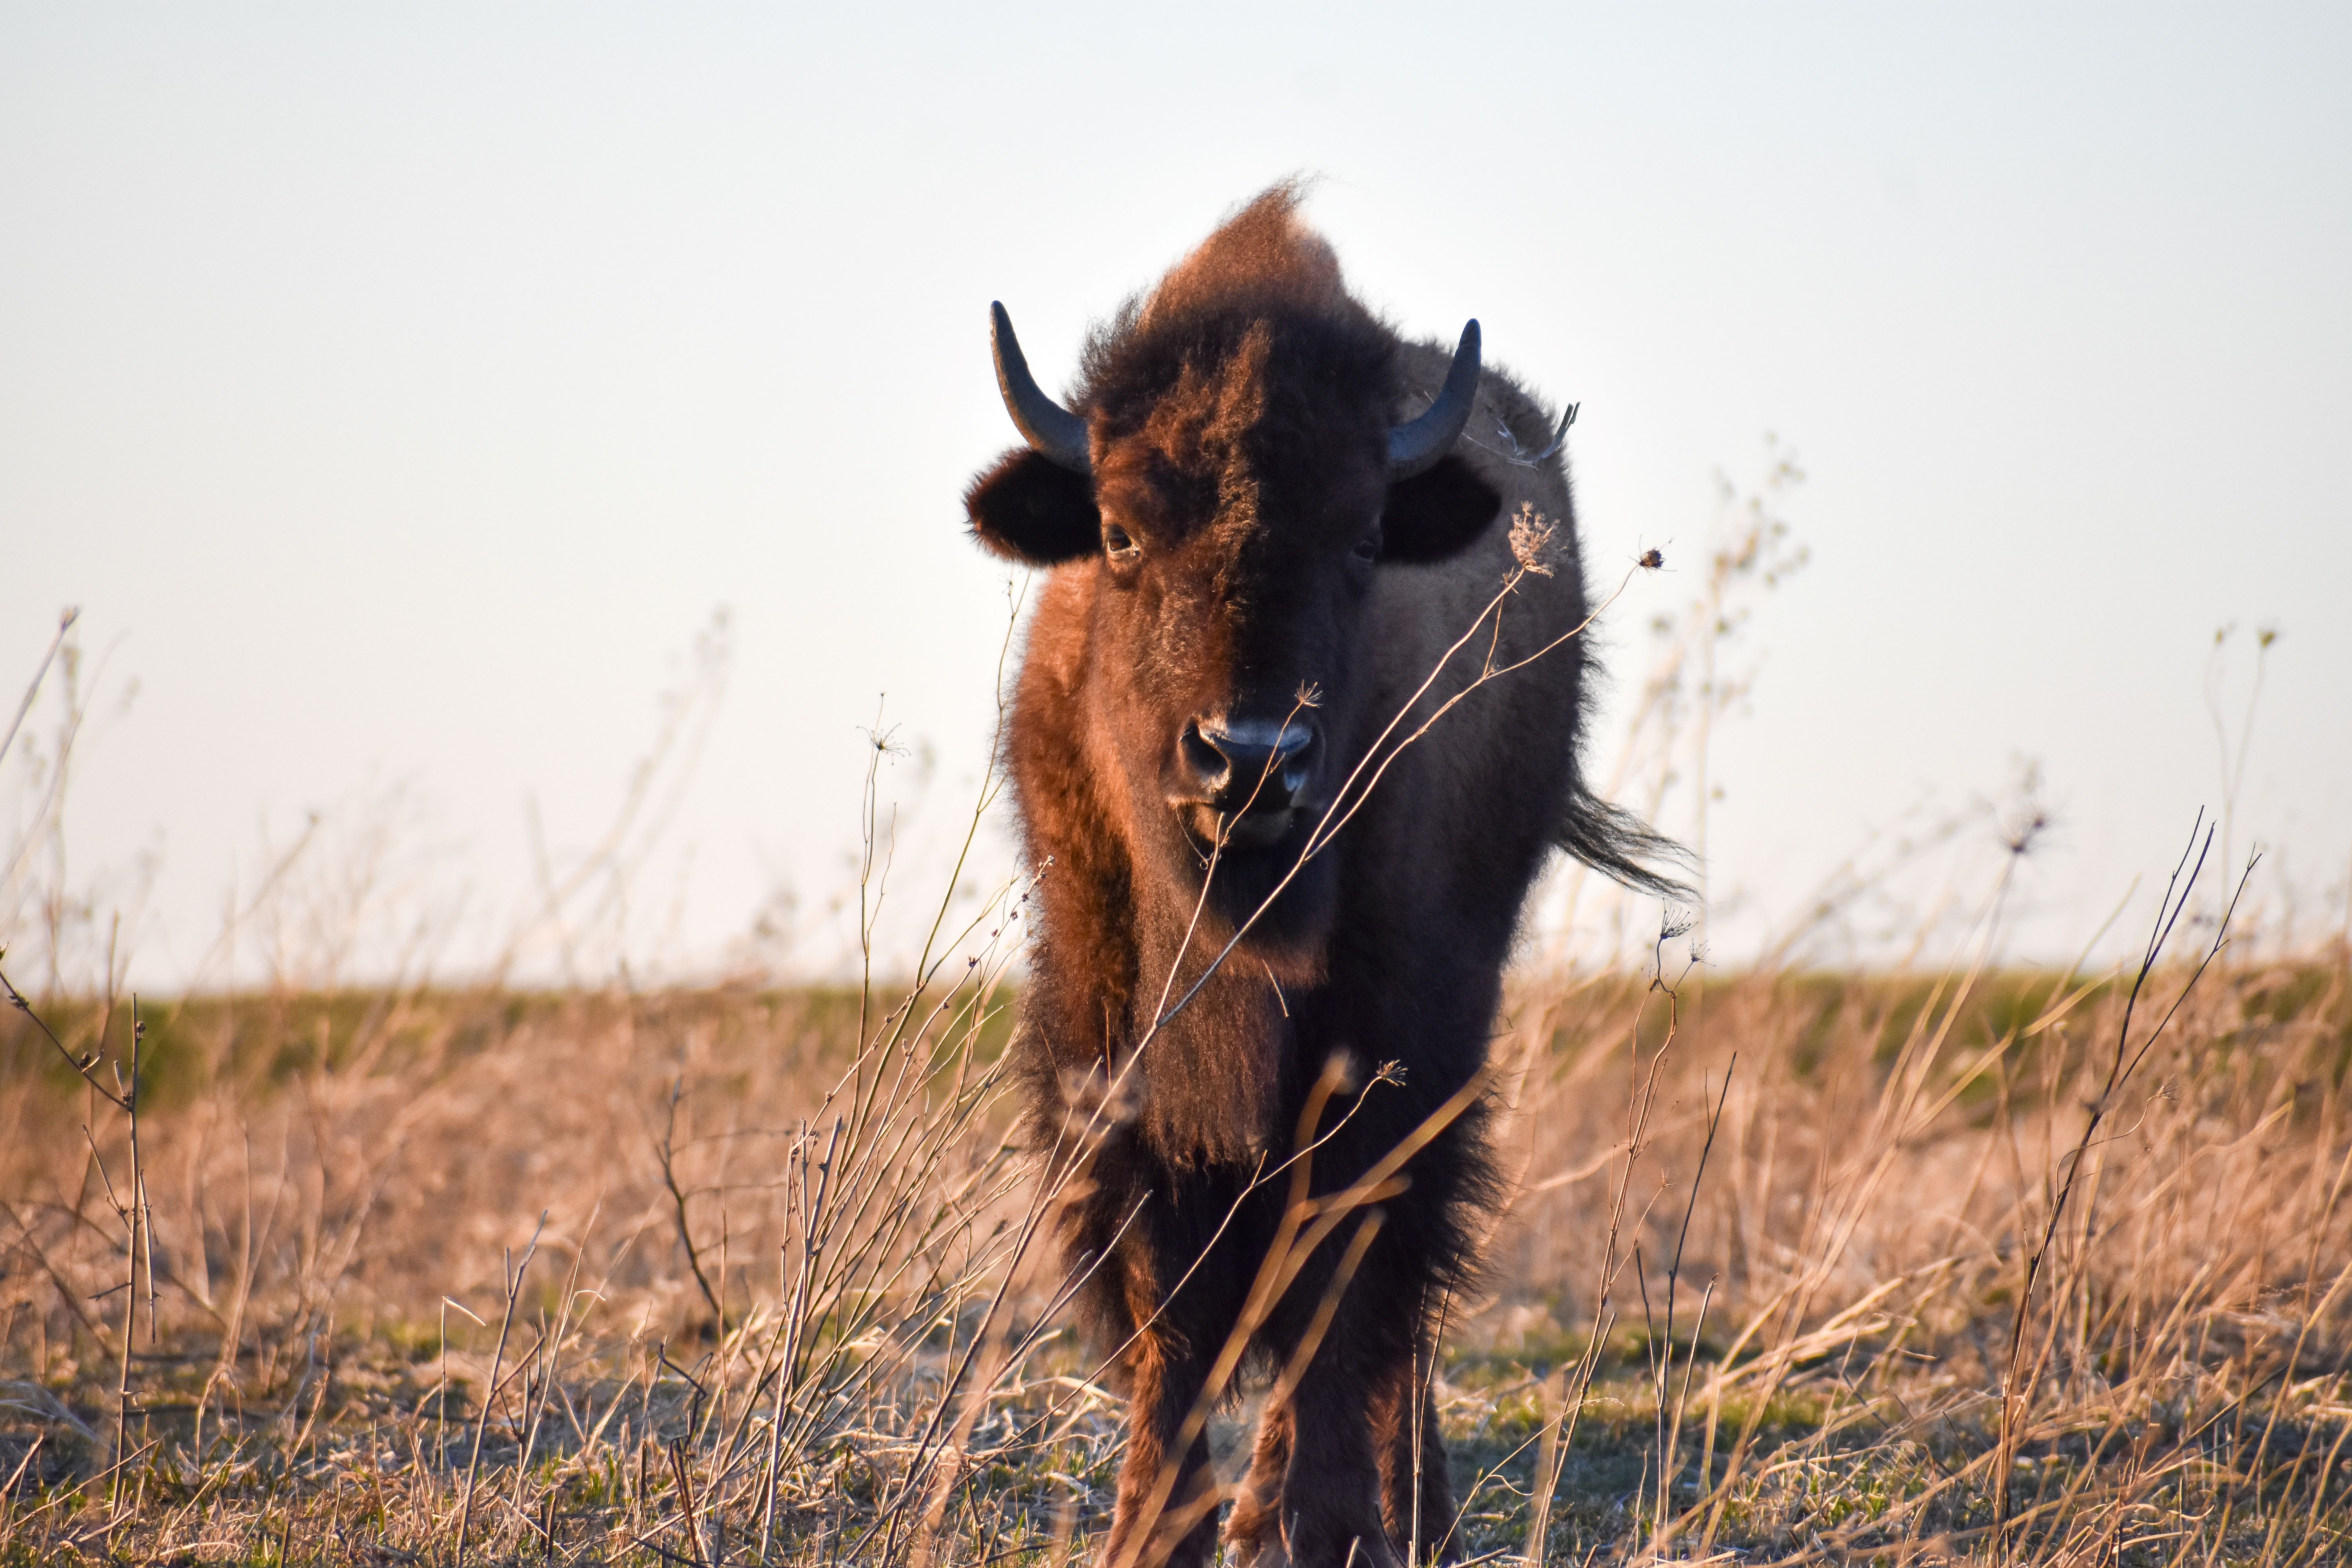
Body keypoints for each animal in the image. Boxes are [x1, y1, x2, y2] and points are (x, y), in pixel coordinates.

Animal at [964, 187, 1684, 1568]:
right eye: (1119, 533)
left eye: (1362, 539)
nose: (1250, 758)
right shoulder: (1109, 1037)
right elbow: (1173, 1292)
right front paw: (1154, 1528)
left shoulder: (1392, 1029)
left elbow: (1343, 1278)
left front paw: (1340, 1524)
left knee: (1387, 1296)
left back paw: (1392, 1514)